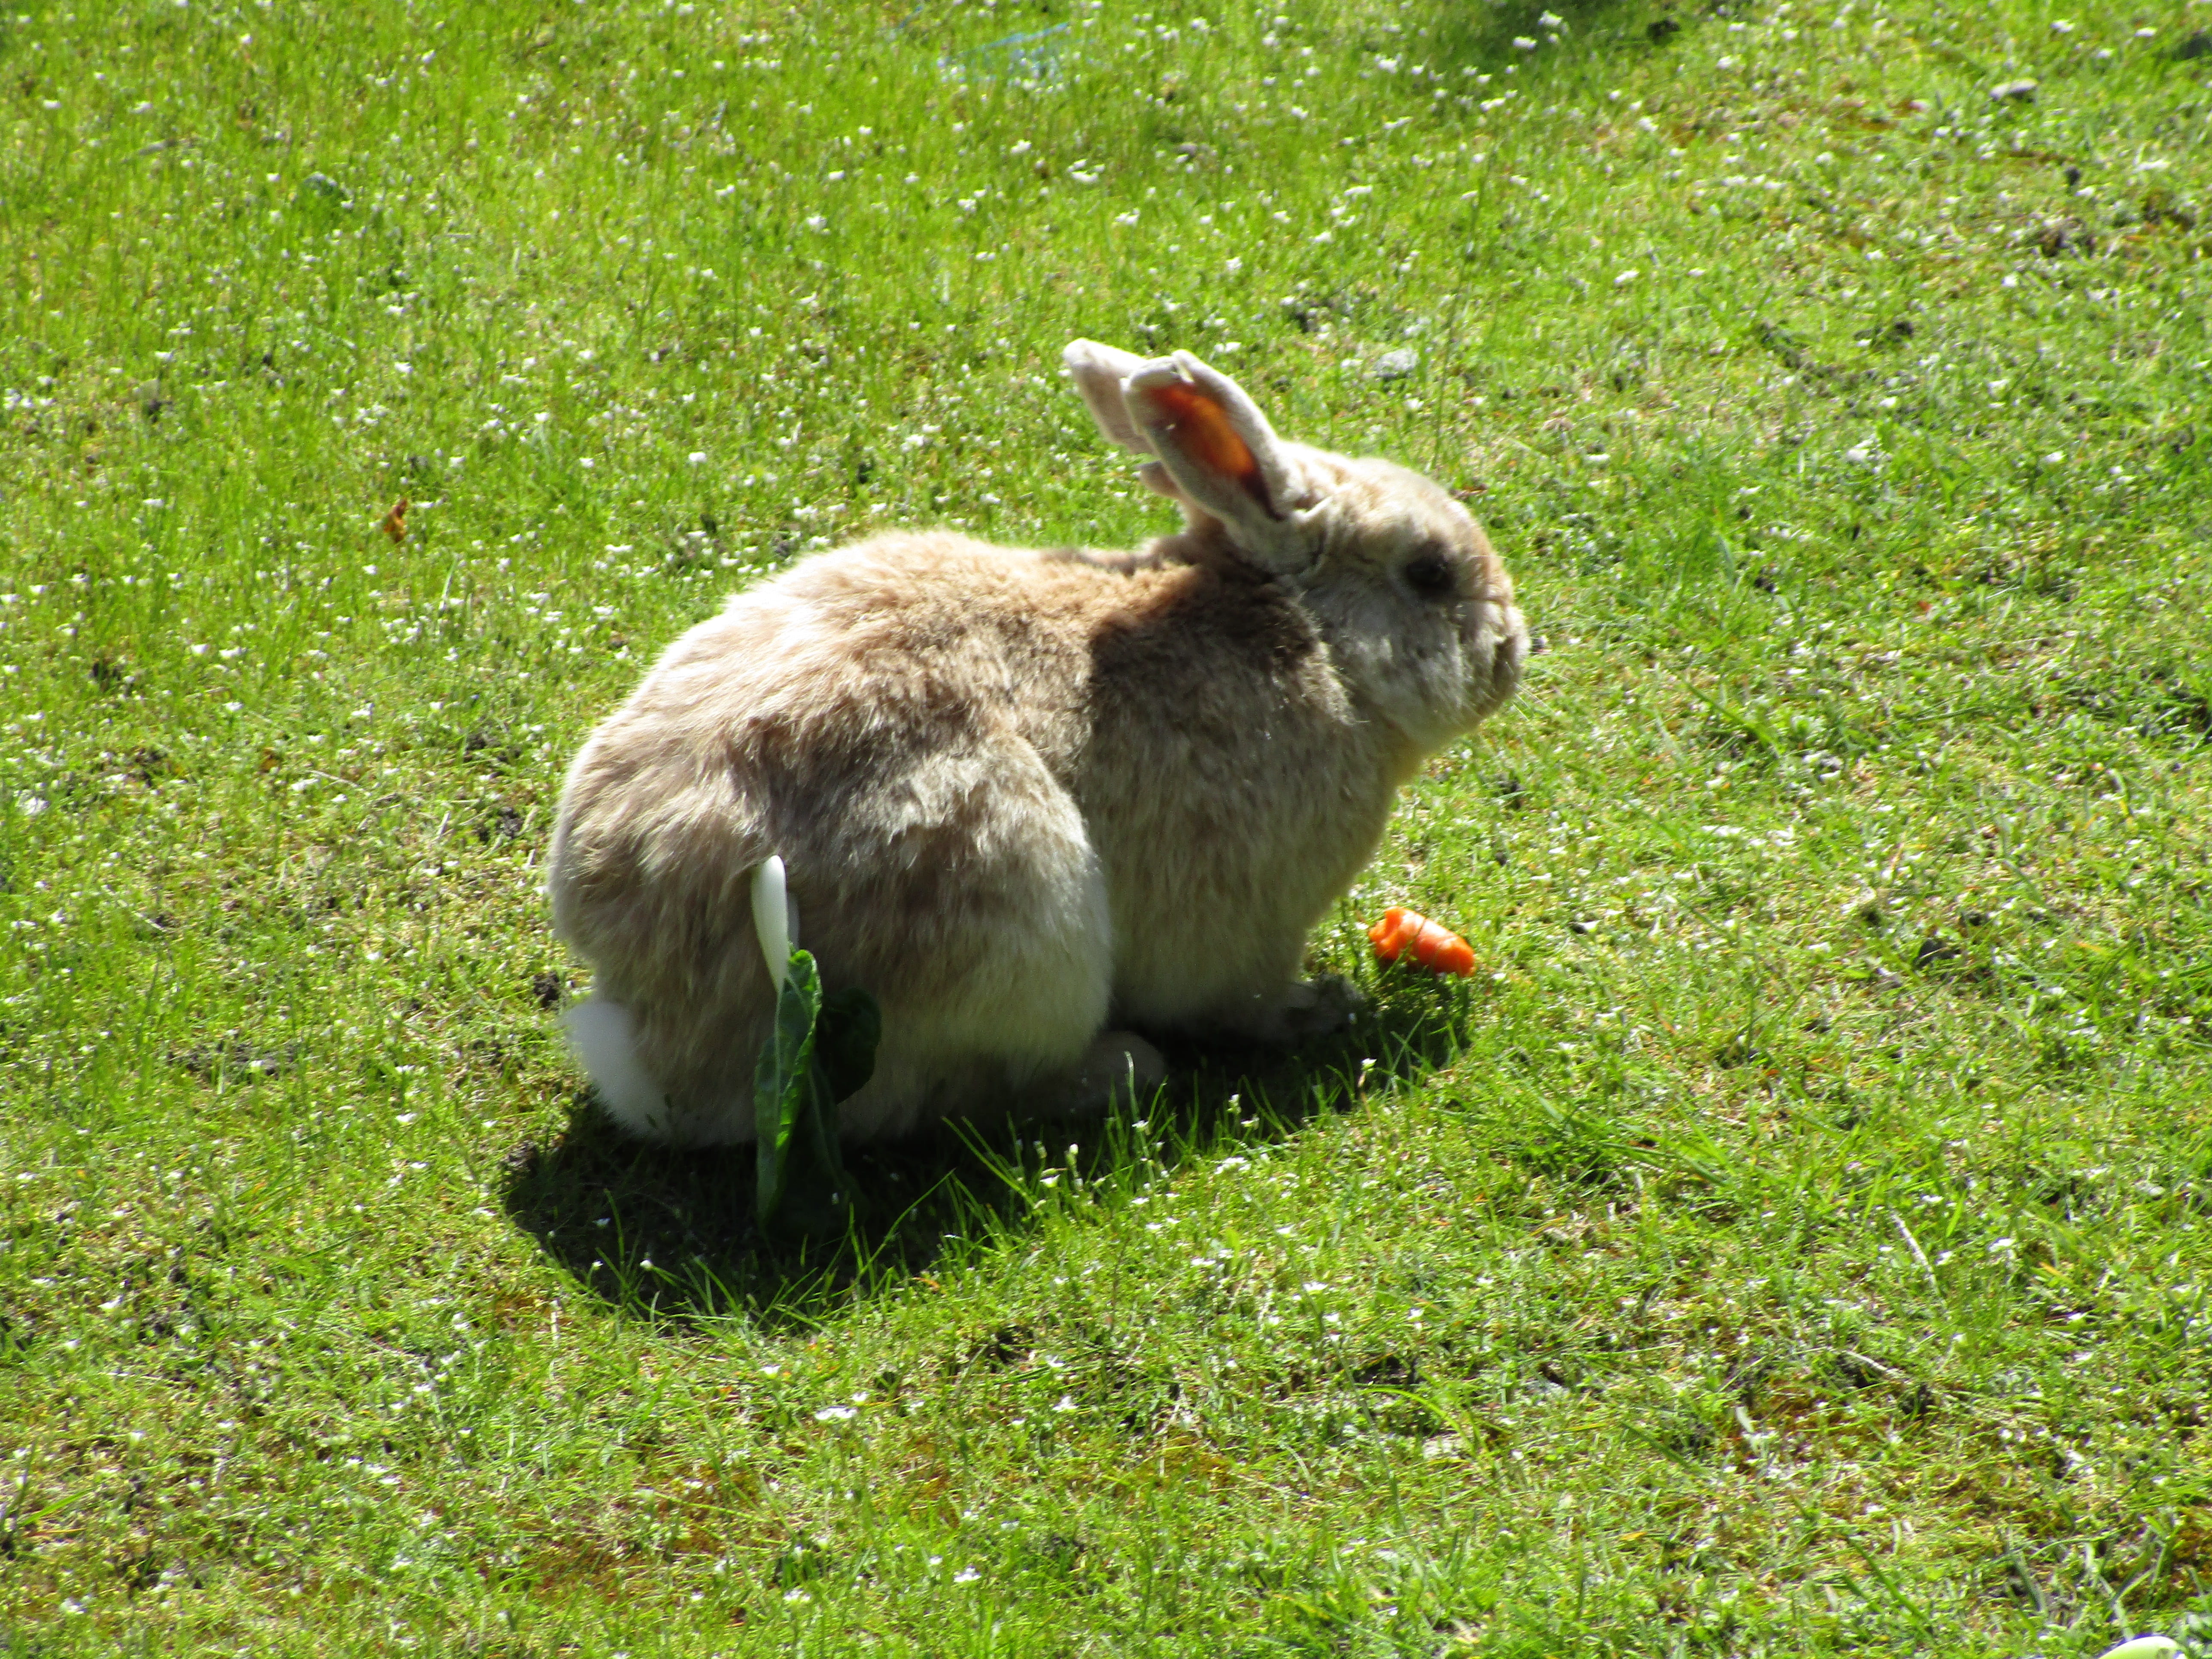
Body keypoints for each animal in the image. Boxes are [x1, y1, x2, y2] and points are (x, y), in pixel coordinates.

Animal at [546, 340, 1530, 1146]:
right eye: (1430, 573)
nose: (1513, 652)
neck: (1319, 640)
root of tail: (654, 1048)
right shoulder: (1252, 924)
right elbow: (1238, 998)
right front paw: (1320, 1008)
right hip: (1011, 924)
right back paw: (1121, 1066)